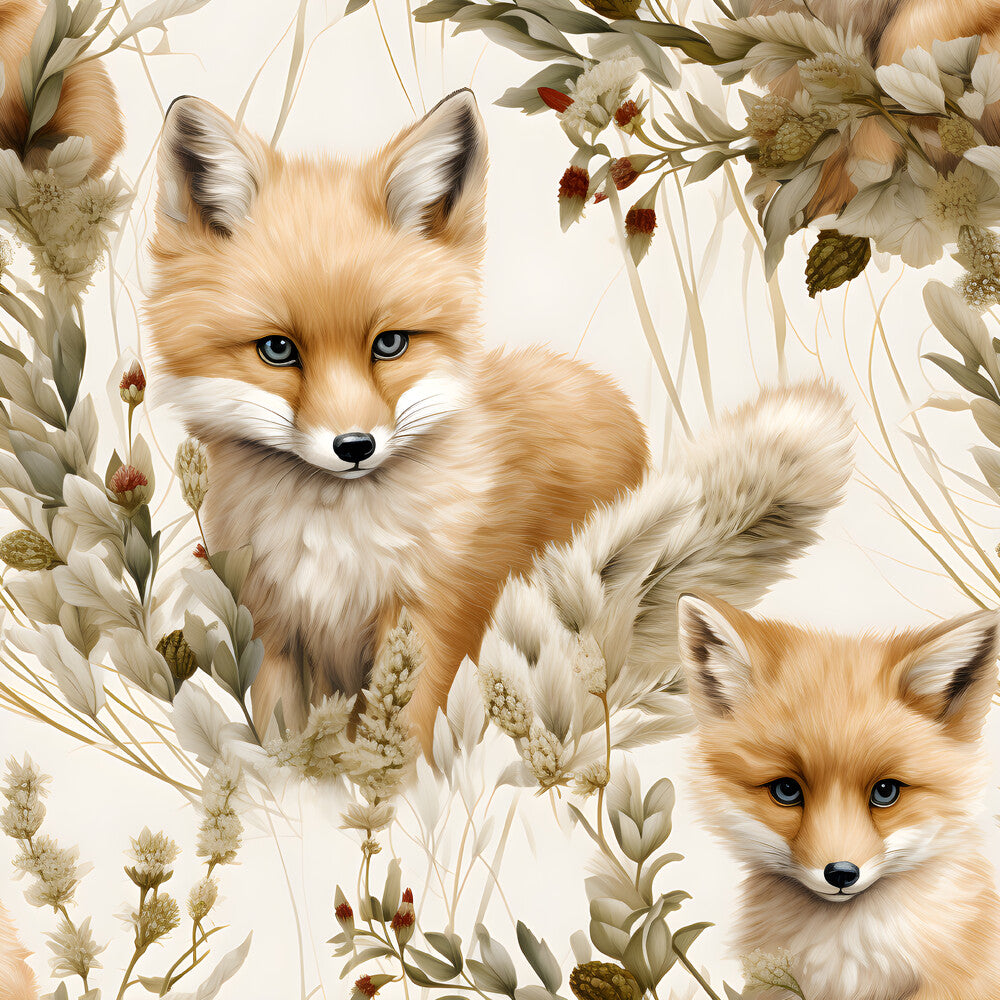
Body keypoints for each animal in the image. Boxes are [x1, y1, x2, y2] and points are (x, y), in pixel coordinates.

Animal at [146, 91, 650, 749]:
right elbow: (284, 745)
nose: (354, 446)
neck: (334, 545)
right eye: (277, 350)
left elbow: (406, 745)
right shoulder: (275, 634)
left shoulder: (434, 622)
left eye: (389, 344)